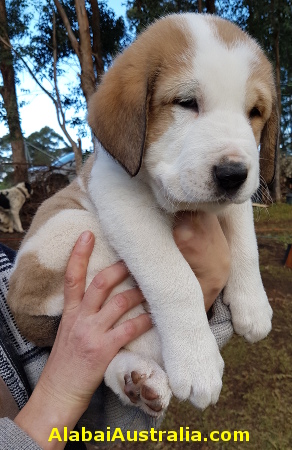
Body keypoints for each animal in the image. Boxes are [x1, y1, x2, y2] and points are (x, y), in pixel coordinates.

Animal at [6, 15, 276, 418]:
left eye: (255, 113)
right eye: (186, 102)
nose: (232, 175)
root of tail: (16, 303)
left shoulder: (239, 199)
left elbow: (246, 244)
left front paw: (253, 304)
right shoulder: (121, 200)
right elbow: (175, 279)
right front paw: (197, 359)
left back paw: (137, 381)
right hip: (75, 229)